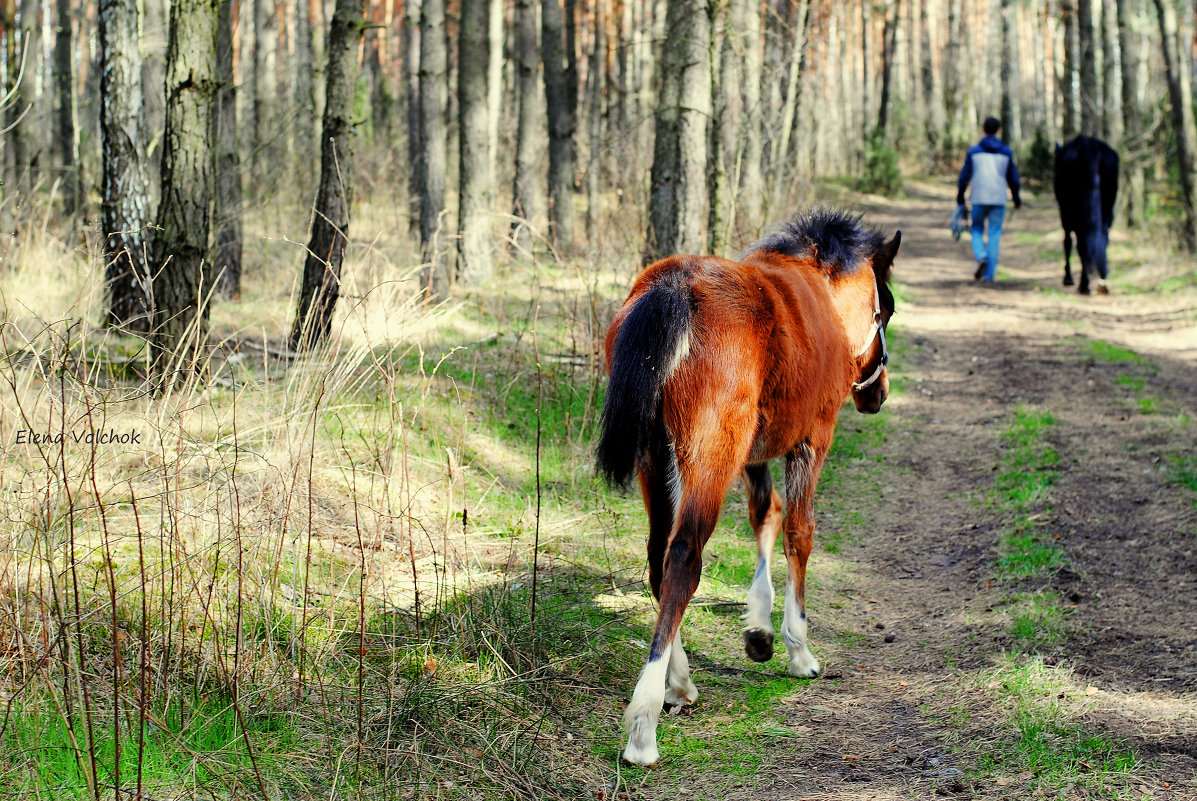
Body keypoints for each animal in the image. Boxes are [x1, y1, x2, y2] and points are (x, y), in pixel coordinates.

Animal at [598, 205, 900, 761]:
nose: (878, 394)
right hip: (709, 454)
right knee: (683, 557)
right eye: (883, 311)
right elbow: (799, 532)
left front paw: (759, 625)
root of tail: (673, 286)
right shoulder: (811, 439)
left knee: (657, 556)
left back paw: (679, 682)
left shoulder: (755, 451)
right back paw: (644, 723)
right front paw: (798, 647)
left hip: (658, 459)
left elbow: (766, 515)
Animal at [1053, 135, 1115, 295]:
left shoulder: (1066, 218)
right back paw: (1102, 280)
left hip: (1074, 212)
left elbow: (1067, 242)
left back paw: (1084, 284)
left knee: (1081, 244)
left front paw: (1068, 278)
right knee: (1102, 238)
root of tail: (1090, 145)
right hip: (1107, 207)